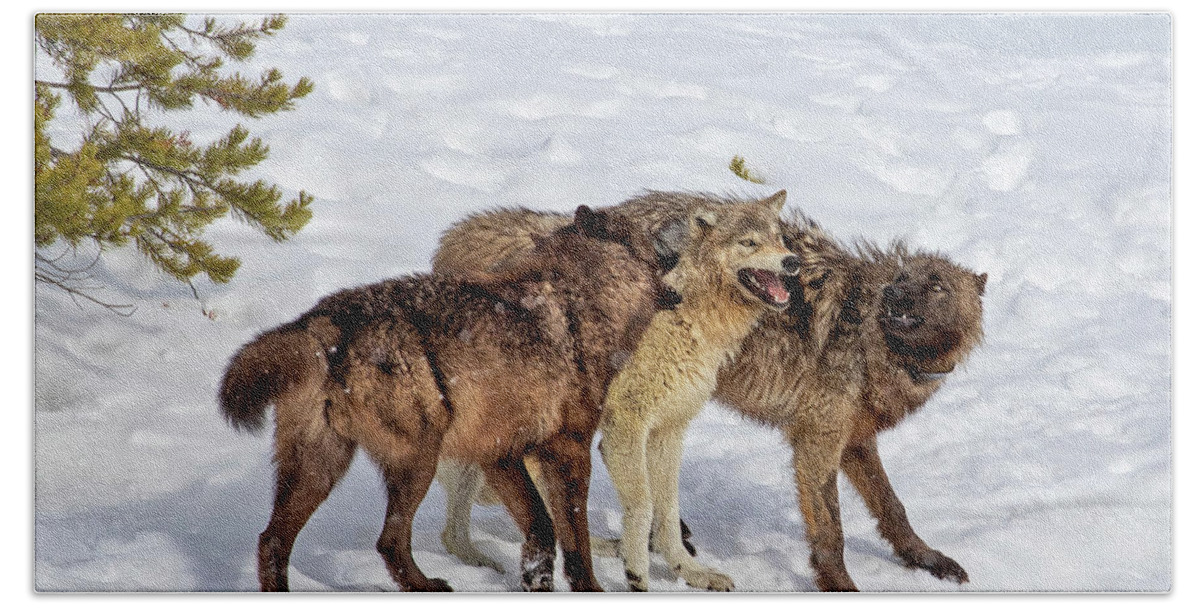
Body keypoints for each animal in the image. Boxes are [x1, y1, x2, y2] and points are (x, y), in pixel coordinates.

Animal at [220, 207, 681, 592]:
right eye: (649, 238)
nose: (679, 236)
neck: (579, 301)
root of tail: (322, 321)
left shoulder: (500, 454)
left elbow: (541, 535)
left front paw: (536, 583)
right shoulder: (568, 451)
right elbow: (576, 541)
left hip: (321, 467)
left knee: (272, 541)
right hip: (417, 462)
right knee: (387, 541)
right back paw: (427, 586)